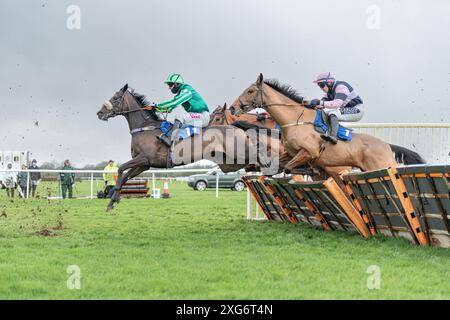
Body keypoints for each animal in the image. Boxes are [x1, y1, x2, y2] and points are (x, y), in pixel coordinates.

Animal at [96, 84, 262, 211]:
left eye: (115, 98)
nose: (100, 113)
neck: (145, 128)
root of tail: (235, 126)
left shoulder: (143, 158)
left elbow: (120, 169)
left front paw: (113, 198)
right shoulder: (144, 164)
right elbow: (125, 176)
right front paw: (113, 201)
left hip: (240, 153)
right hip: (230, 160)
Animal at [232, 74, 426, 175]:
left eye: (250, 91)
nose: (233, 108)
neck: (294, 121)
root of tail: (386, 145)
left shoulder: (308, 152)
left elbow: (288, 168)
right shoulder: (291, 153)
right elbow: (281, 165)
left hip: (382, 166)